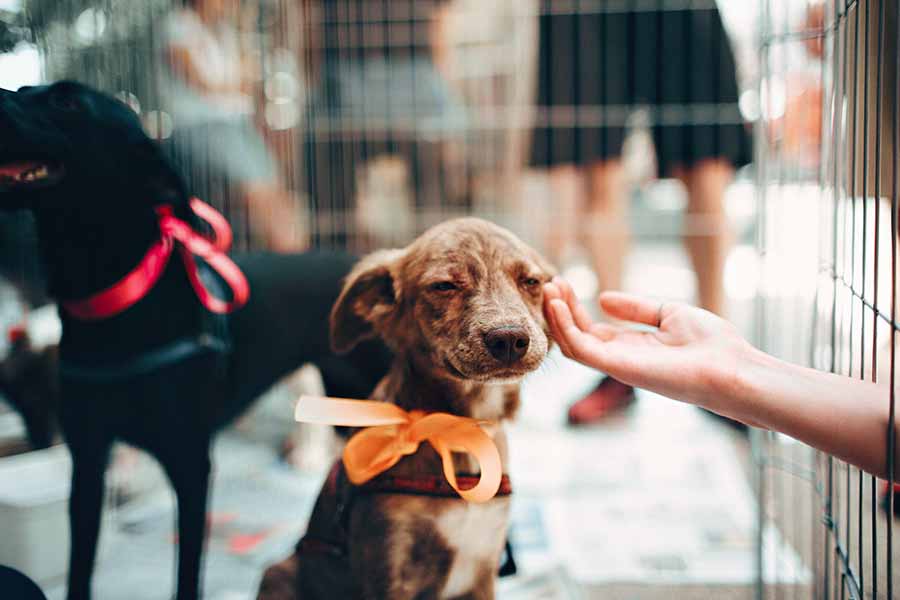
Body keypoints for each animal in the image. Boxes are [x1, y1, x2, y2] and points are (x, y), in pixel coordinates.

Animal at [1, 81, 392, 600]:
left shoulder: (190, 465)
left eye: (65, 101)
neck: (116, 304)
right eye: (25, 89)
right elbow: (80, 568)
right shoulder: (87, 462)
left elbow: (187, 573)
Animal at [260, 219, 552, 600]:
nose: (509, 340)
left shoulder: (483, 569)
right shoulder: (389, 567)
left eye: (530, 281)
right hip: (278, 572)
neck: (458, 431)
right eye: (444, 286)